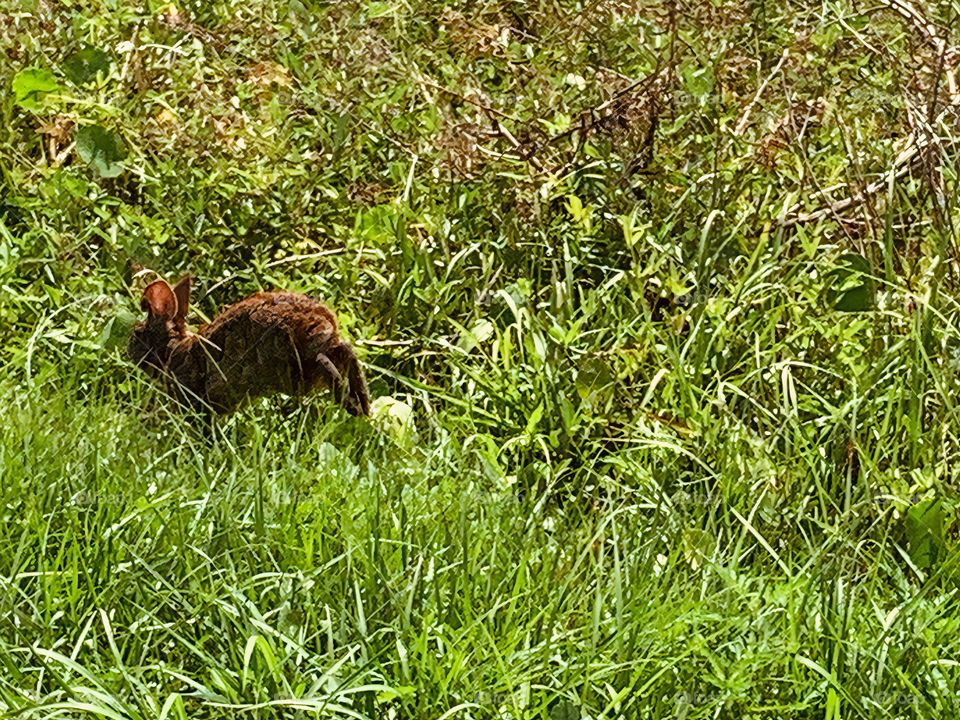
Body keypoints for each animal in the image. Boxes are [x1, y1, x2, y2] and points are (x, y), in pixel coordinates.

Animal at [127, 278, 368, 416]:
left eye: (137, 334)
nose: (128, 351)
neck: (172, 349)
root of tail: (319, 320)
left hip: (289, 361)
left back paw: (353, 406)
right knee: (345, 352)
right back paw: (364, 406)